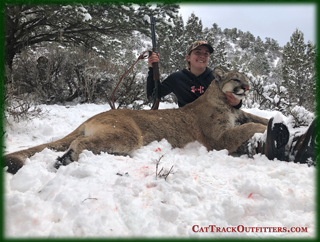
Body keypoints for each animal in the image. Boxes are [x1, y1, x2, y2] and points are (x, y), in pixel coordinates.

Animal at [5, 66, 270, 174]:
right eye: (236, 79)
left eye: (246, 79)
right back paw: (67, 158)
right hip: (129, 135)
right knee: (79, 143)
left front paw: (276, 123)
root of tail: (94, 115)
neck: (225, 102)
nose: (247, 88)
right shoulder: (217, 139)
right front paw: (266, 129)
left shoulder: (239, 114)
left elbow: (258, 117)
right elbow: (248, 126)